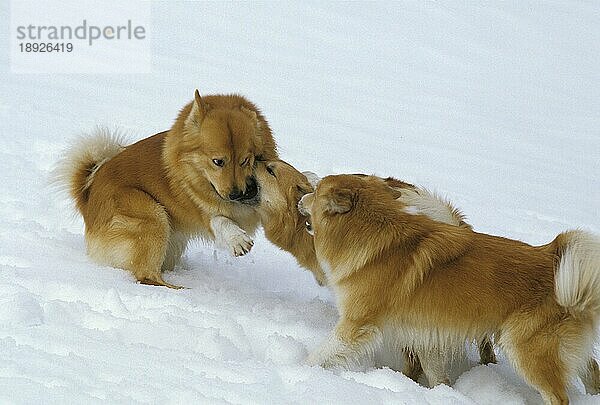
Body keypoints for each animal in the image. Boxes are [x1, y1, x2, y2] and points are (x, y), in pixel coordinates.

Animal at [57, 91, 278, 288]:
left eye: (245, 161)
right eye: (218, 161)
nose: (236, 195)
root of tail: (87, 196)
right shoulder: (203, 211)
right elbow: (220, 220)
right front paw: (237, 240)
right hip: (153, 216)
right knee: (146, 276)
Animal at [298, 174, 600, 404]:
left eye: (316, 191)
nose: (300, 198)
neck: (373, 238)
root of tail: (552, 256)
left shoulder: (355, 326)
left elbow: (321, 354)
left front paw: (301, 370)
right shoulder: (424, 333)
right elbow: (436, 375)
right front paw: (442, 394)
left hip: (528, 350)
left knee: (558, 396)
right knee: (593, 372)